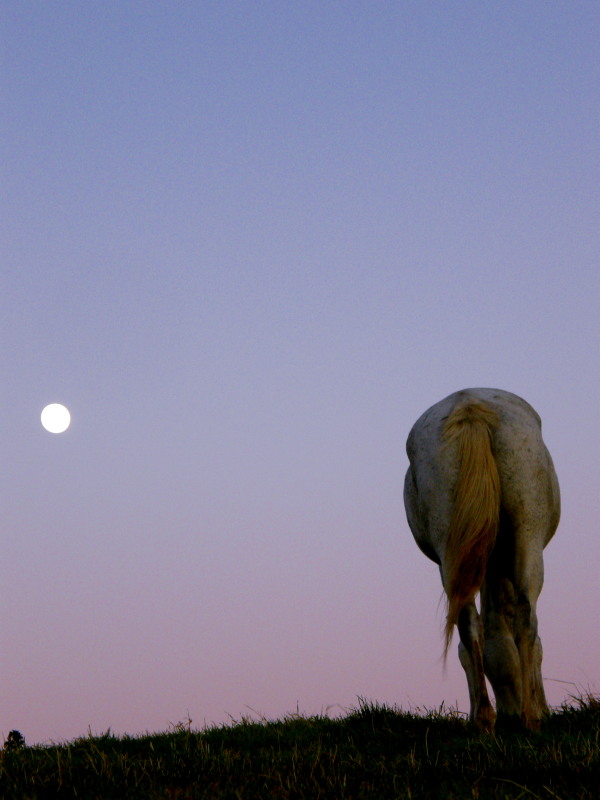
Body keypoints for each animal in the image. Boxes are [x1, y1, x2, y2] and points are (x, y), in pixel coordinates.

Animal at [404, 390, 564, 732]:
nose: (510, 710)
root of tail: (470, 405)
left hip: (450, 555)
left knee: (468, 623)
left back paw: (484, 720)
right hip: (529, 537)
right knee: (526, 616)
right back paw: (531, 717)